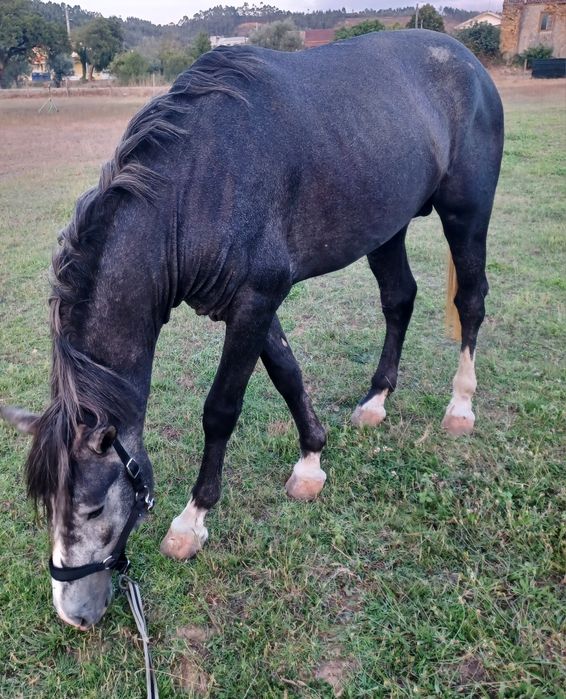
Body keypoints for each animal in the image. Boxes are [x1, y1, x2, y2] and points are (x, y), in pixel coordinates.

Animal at [1, 30, 503, 630]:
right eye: (45, 505)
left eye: (96, 506)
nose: (73, 613)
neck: (200, 182)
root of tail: (469, 62)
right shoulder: (245, 305)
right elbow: (287, 372)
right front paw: (311, 461)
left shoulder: (256, 299)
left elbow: (221, 409)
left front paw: (191, 523)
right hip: (388, 226)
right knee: (399, 300)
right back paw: (376, 400)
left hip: (466, 214)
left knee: (470, 302)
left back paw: (461, 406)